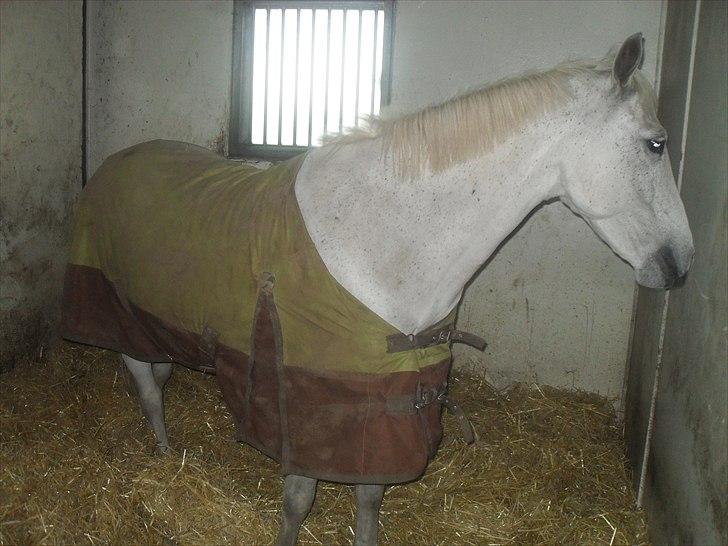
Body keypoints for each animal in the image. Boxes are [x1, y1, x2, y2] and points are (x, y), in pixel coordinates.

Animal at [62, 34, 693, 546]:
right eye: (656, 143)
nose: (680, 264)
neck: (386, 236)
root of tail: (114, 163)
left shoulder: (379, 394)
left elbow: (369, 494)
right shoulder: (306, 398)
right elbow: (298, 500)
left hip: (164, 327)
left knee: (160, 379)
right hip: (122, 319)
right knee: (147, 388)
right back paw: (164, 457)